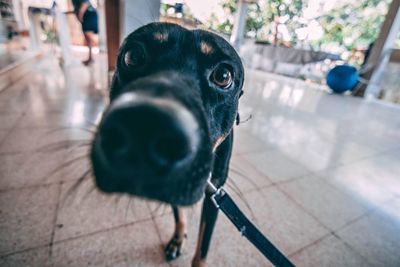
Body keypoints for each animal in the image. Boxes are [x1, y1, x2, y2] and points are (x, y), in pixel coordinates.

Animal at [91, 23, 244, 267]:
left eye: (223, 76)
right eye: (133, 56)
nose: (146, 128)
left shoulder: (215, 194)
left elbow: (202, 249)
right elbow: (178, 213)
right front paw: (178, 238)